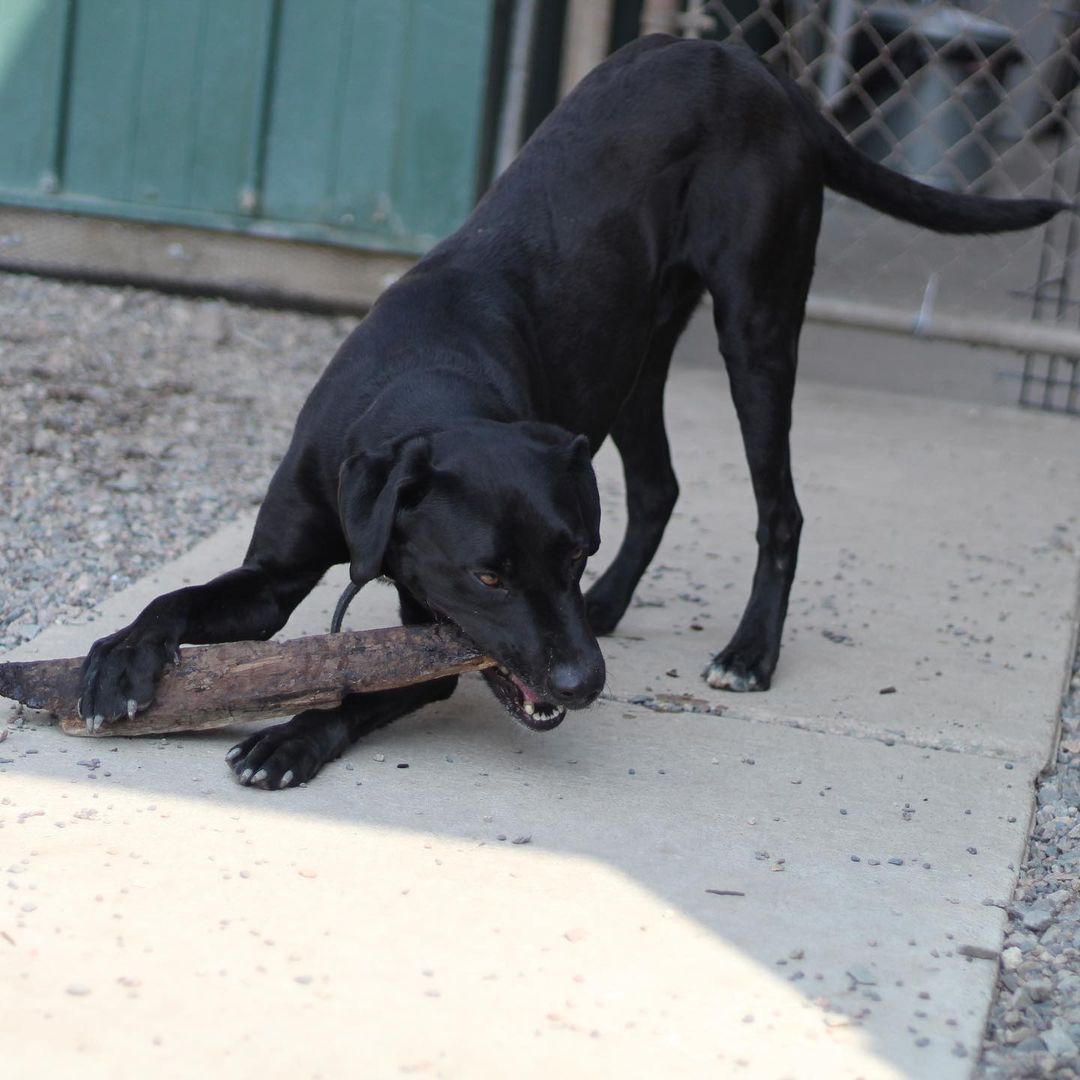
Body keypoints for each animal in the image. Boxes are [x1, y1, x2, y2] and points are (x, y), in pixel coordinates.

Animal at [76, 38, 1062, 790]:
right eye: (488, 576)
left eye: (572, 551)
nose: (586, 681)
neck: (419, 376)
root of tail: (759, 68)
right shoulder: (276, 574)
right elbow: (177, 597)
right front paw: (120, 656)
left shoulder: (434, 641)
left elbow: (364, 690)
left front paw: (287, 738)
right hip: (631, 363)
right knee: (661, 485)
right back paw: (618, 605)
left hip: (756, 327)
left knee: (780, 507)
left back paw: (748, 652)